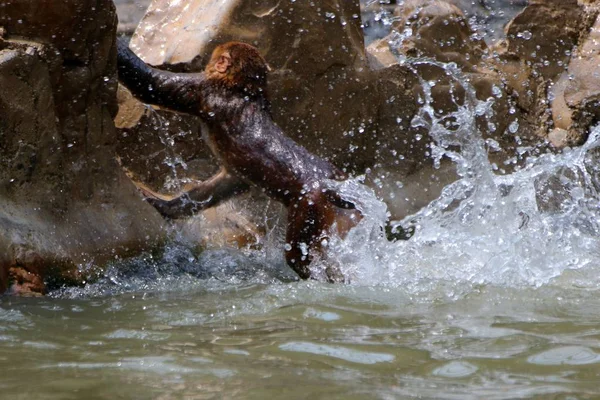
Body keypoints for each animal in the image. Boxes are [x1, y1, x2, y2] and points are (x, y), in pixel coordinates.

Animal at [116, 37, 408, 282]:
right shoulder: (235, 173)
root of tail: (330, 185)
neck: (243, 91)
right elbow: (217, 188)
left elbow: (153, 85)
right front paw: (164, 204)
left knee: (298, 250)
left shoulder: (204, 90)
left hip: (308, 206)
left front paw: (121, 47)